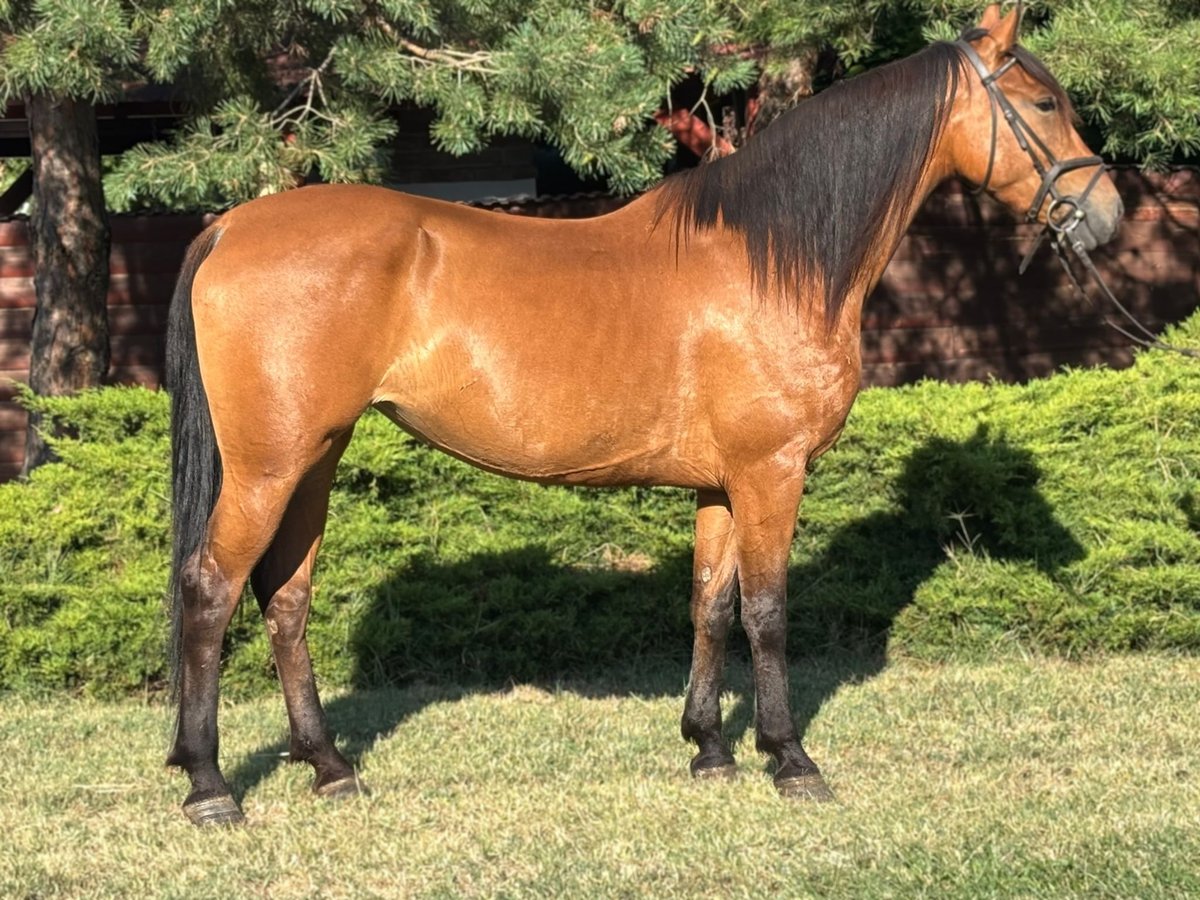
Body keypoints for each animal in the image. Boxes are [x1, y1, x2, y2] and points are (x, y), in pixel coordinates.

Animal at [164, 4, 1123, 824]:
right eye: (1044, 101)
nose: (1106, 217)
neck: (772, 259)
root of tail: (231, 227)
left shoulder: (722, 485)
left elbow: (710, 603)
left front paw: (709, 750)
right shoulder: (772, 472)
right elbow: (768, 611)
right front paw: (790, 760)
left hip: (313, 458)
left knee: (285, 597)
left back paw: (329, 768)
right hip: (269, 466)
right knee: (210, 591)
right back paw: (211, 787)